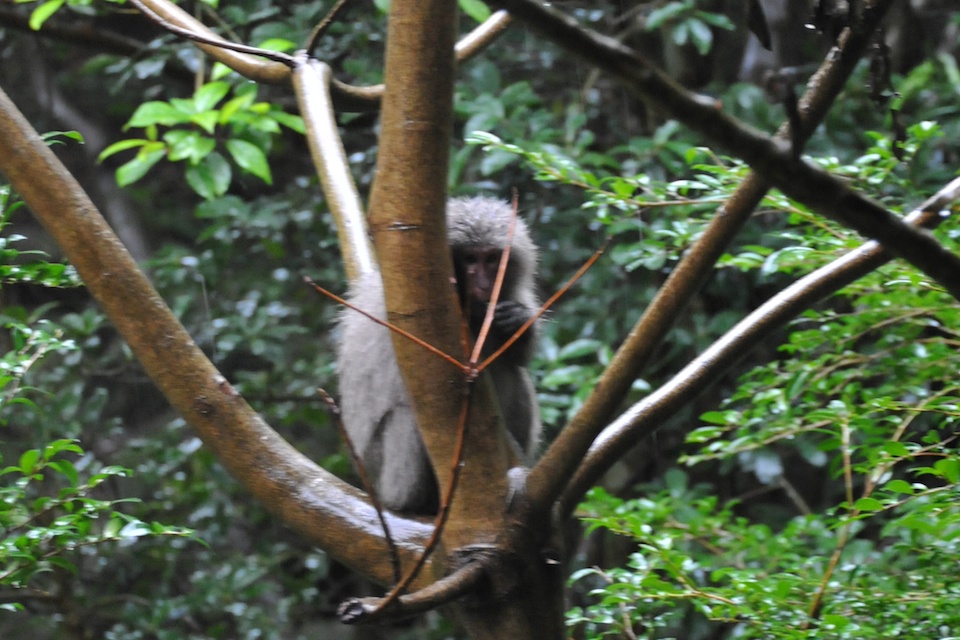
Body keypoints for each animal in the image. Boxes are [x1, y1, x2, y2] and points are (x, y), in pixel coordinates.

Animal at [337, 196, 541, 514]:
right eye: (470, 259)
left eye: (491, 258)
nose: (484, 285)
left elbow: (516, 355)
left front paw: (518, 321)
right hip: (386, 469)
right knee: (409, 414)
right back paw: (411, 500)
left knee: (511, 370)